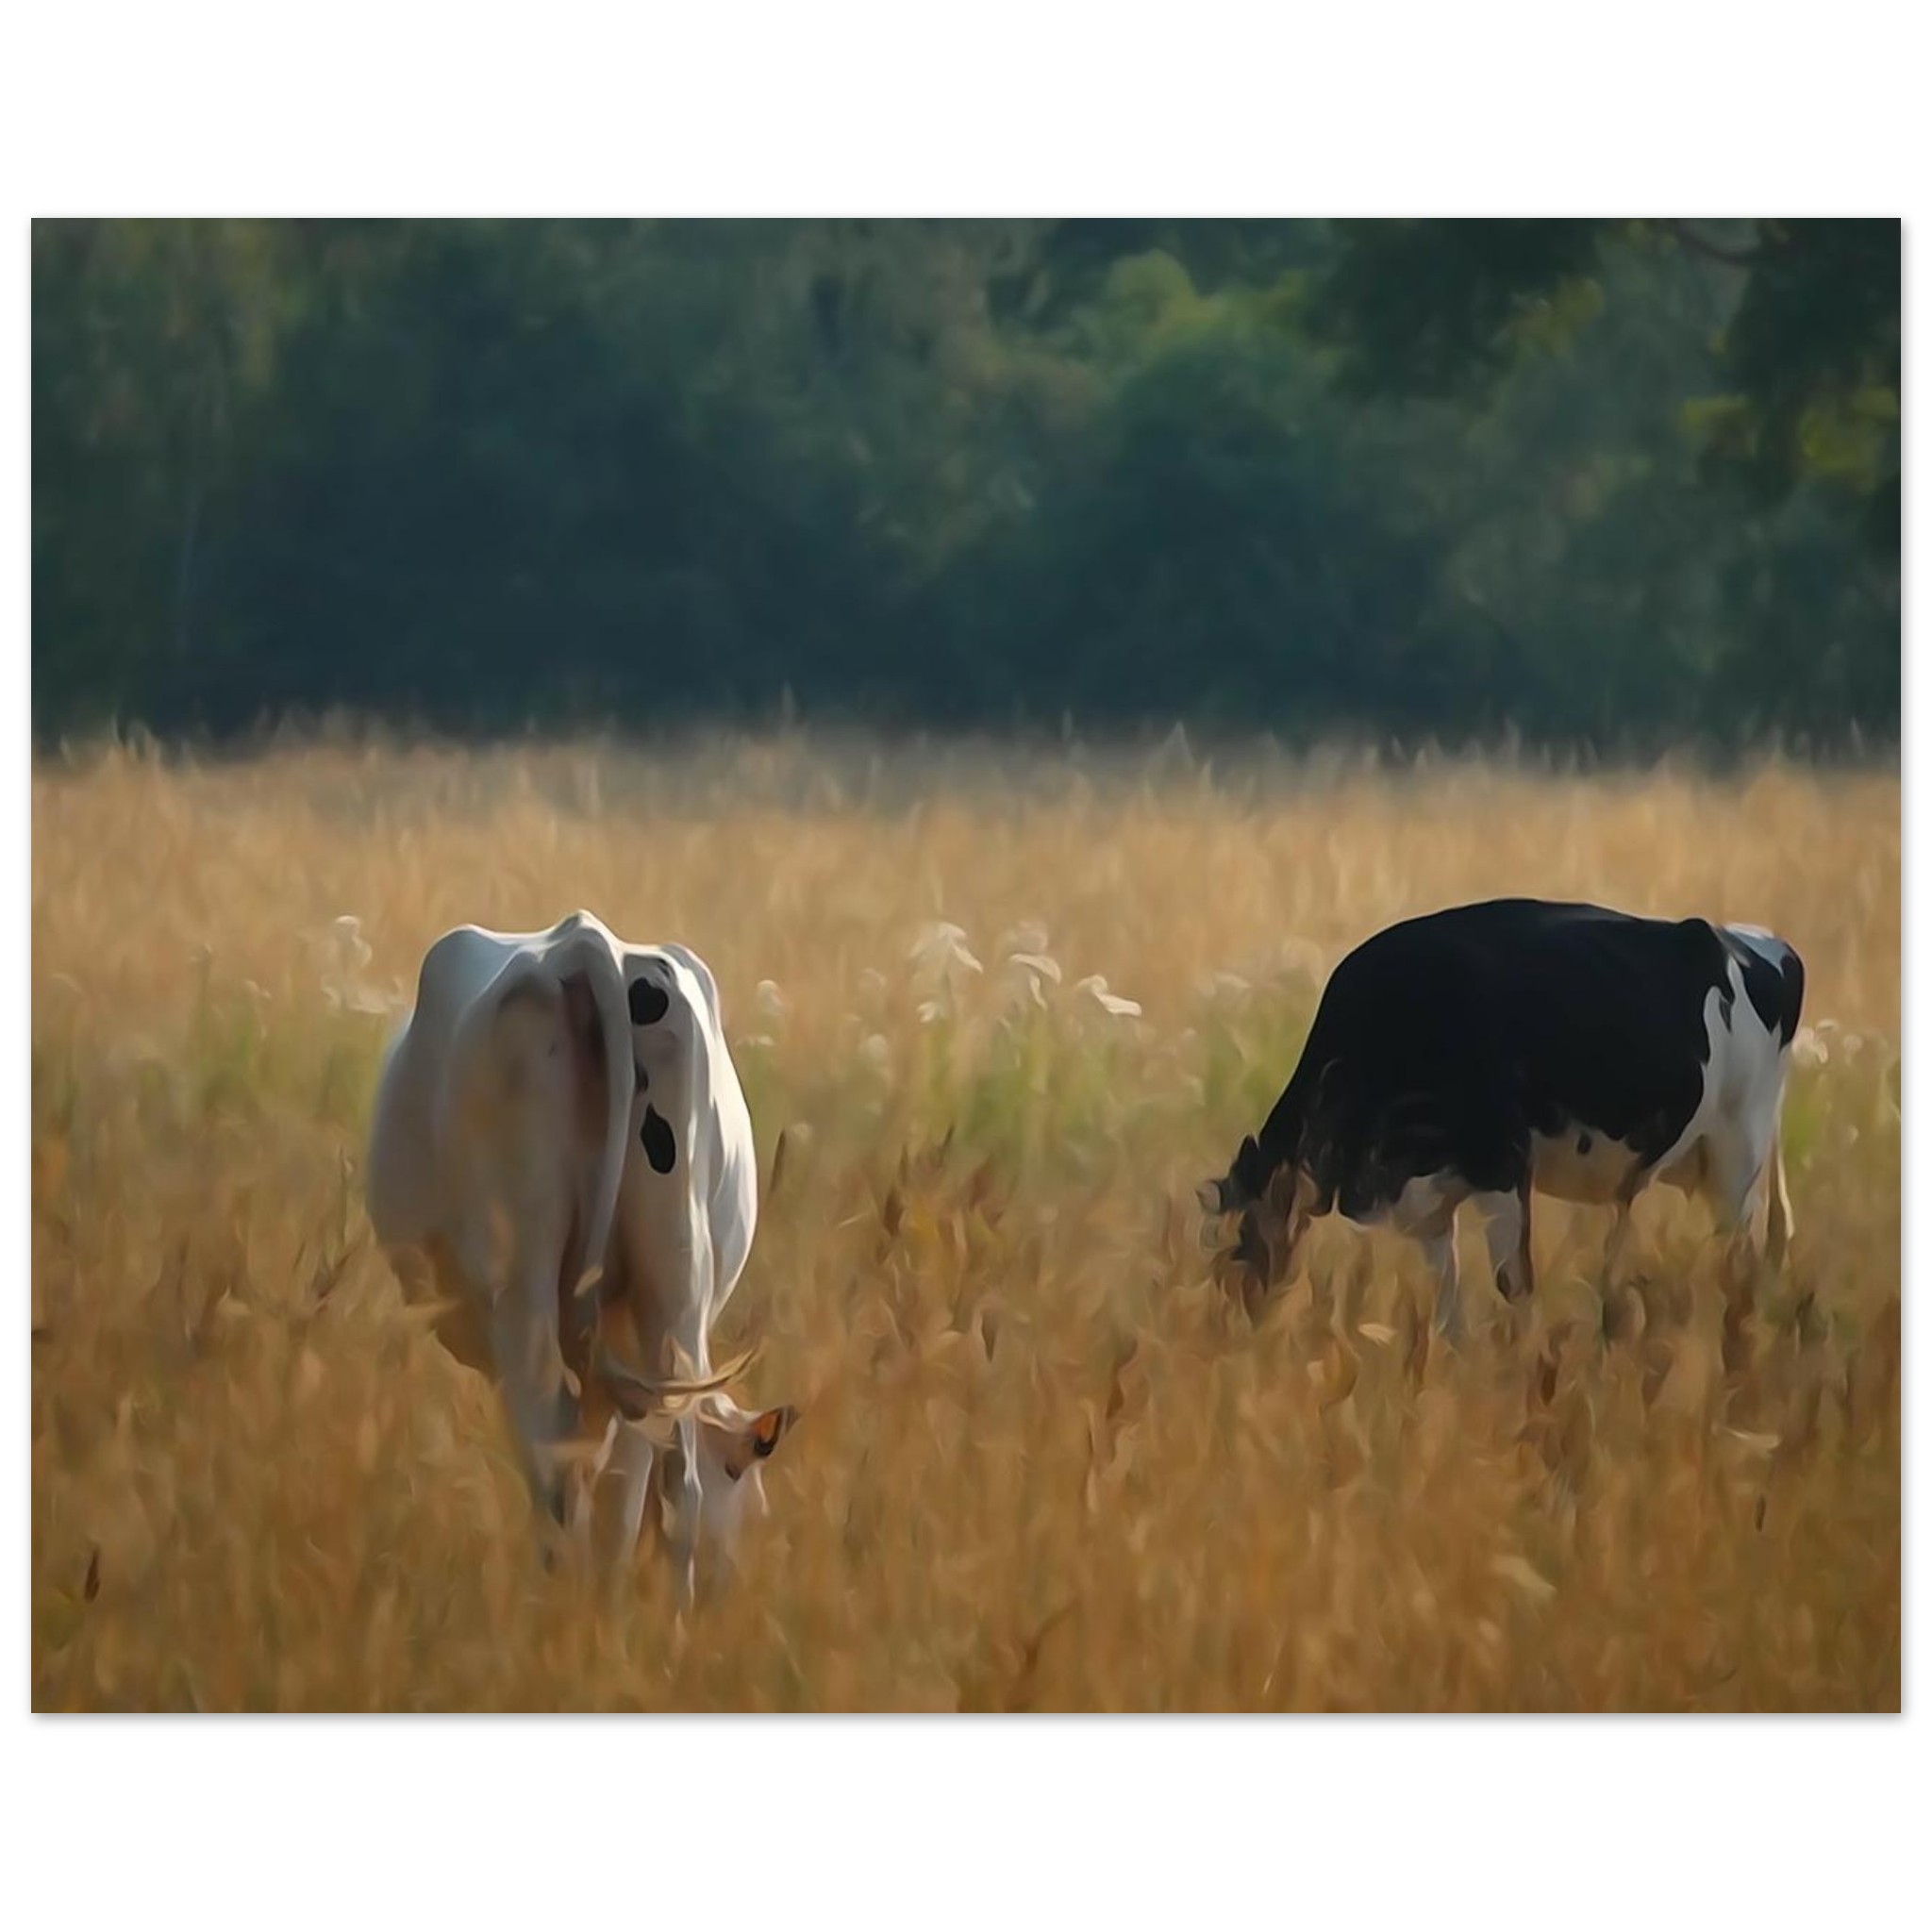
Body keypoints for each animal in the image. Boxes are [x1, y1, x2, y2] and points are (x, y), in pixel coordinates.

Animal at [1199, 899, 1805, 1341]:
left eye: (1235, 1257)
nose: (1233, 1346)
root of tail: (1751, 938)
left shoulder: (1503, 1167)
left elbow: (1514, 1285)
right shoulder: (1428, 1204)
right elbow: (1445, 1308)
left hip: (1738, 1156)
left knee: (1739, 1264)